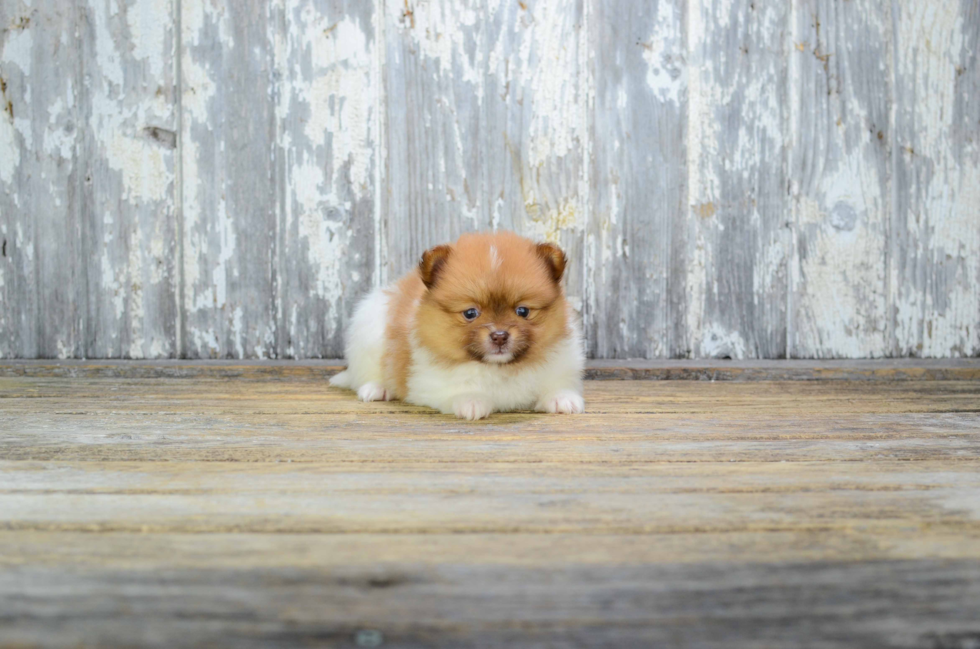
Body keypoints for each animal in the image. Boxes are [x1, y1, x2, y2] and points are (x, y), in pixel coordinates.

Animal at [334, 230, 584, 418]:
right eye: (471, 313)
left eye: (523, 311)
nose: (500, 336)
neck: (499, 367)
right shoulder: (428, 382)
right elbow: (457, 390)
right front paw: (471, 401)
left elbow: (555, 383)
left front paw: (561, 398)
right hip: (369, 334)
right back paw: (377, 388)